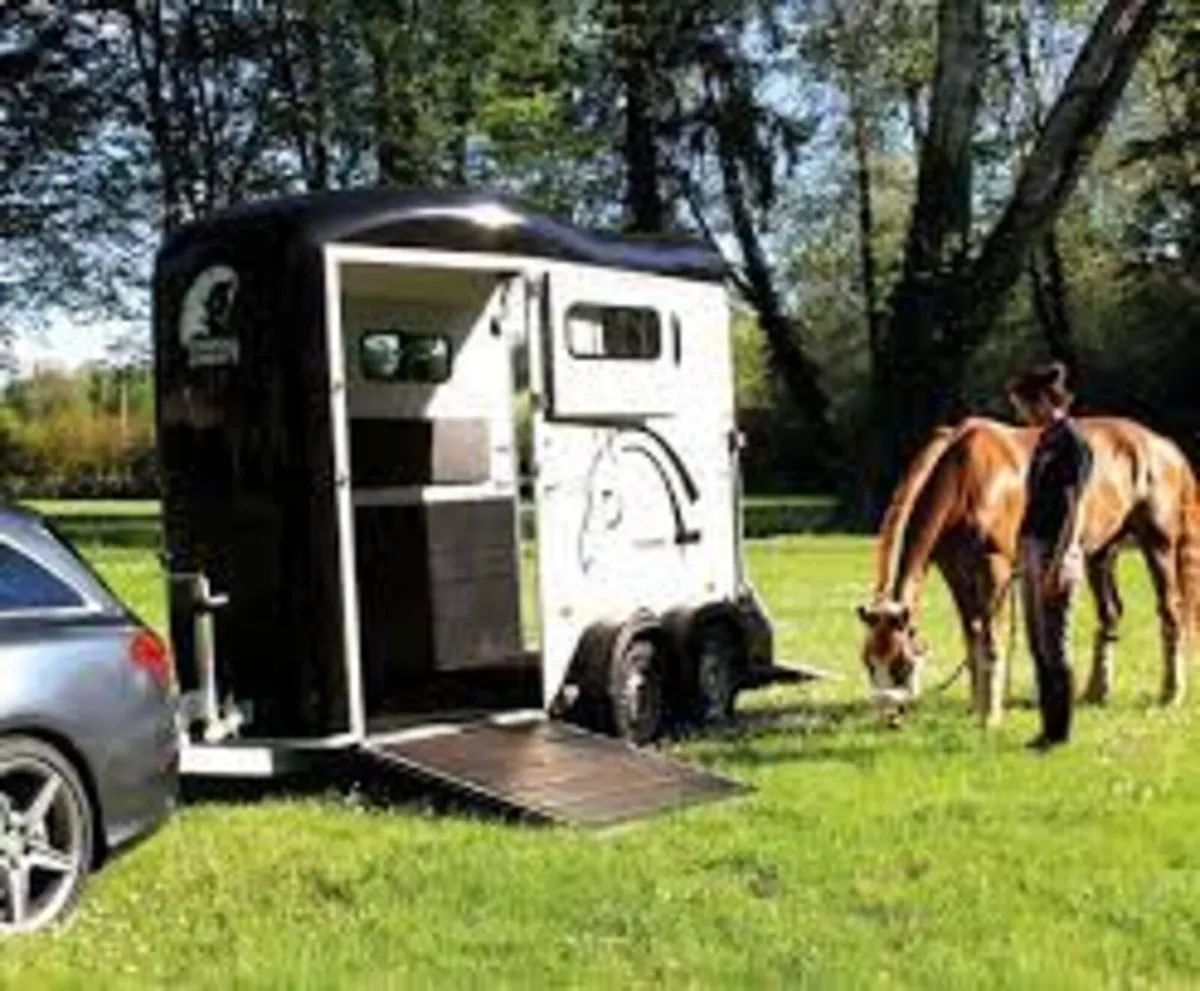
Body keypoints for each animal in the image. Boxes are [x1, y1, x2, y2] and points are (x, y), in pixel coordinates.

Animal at [857, 415, 1200, 727]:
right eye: (868, 664)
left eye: (902, 665)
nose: (888, 718)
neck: (967, 476)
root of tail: (1164, 446)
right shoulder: (953, 569)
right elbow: (972, 632)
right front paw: (976, 705)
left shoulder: (995, 565)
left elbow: (991, 637)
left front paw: (990, 716)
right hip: (1101, 553)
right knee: (1110, 614)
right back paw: (1095, 694)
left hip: (1158, 545)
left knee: (1171, 611)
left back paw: (1170, 696)